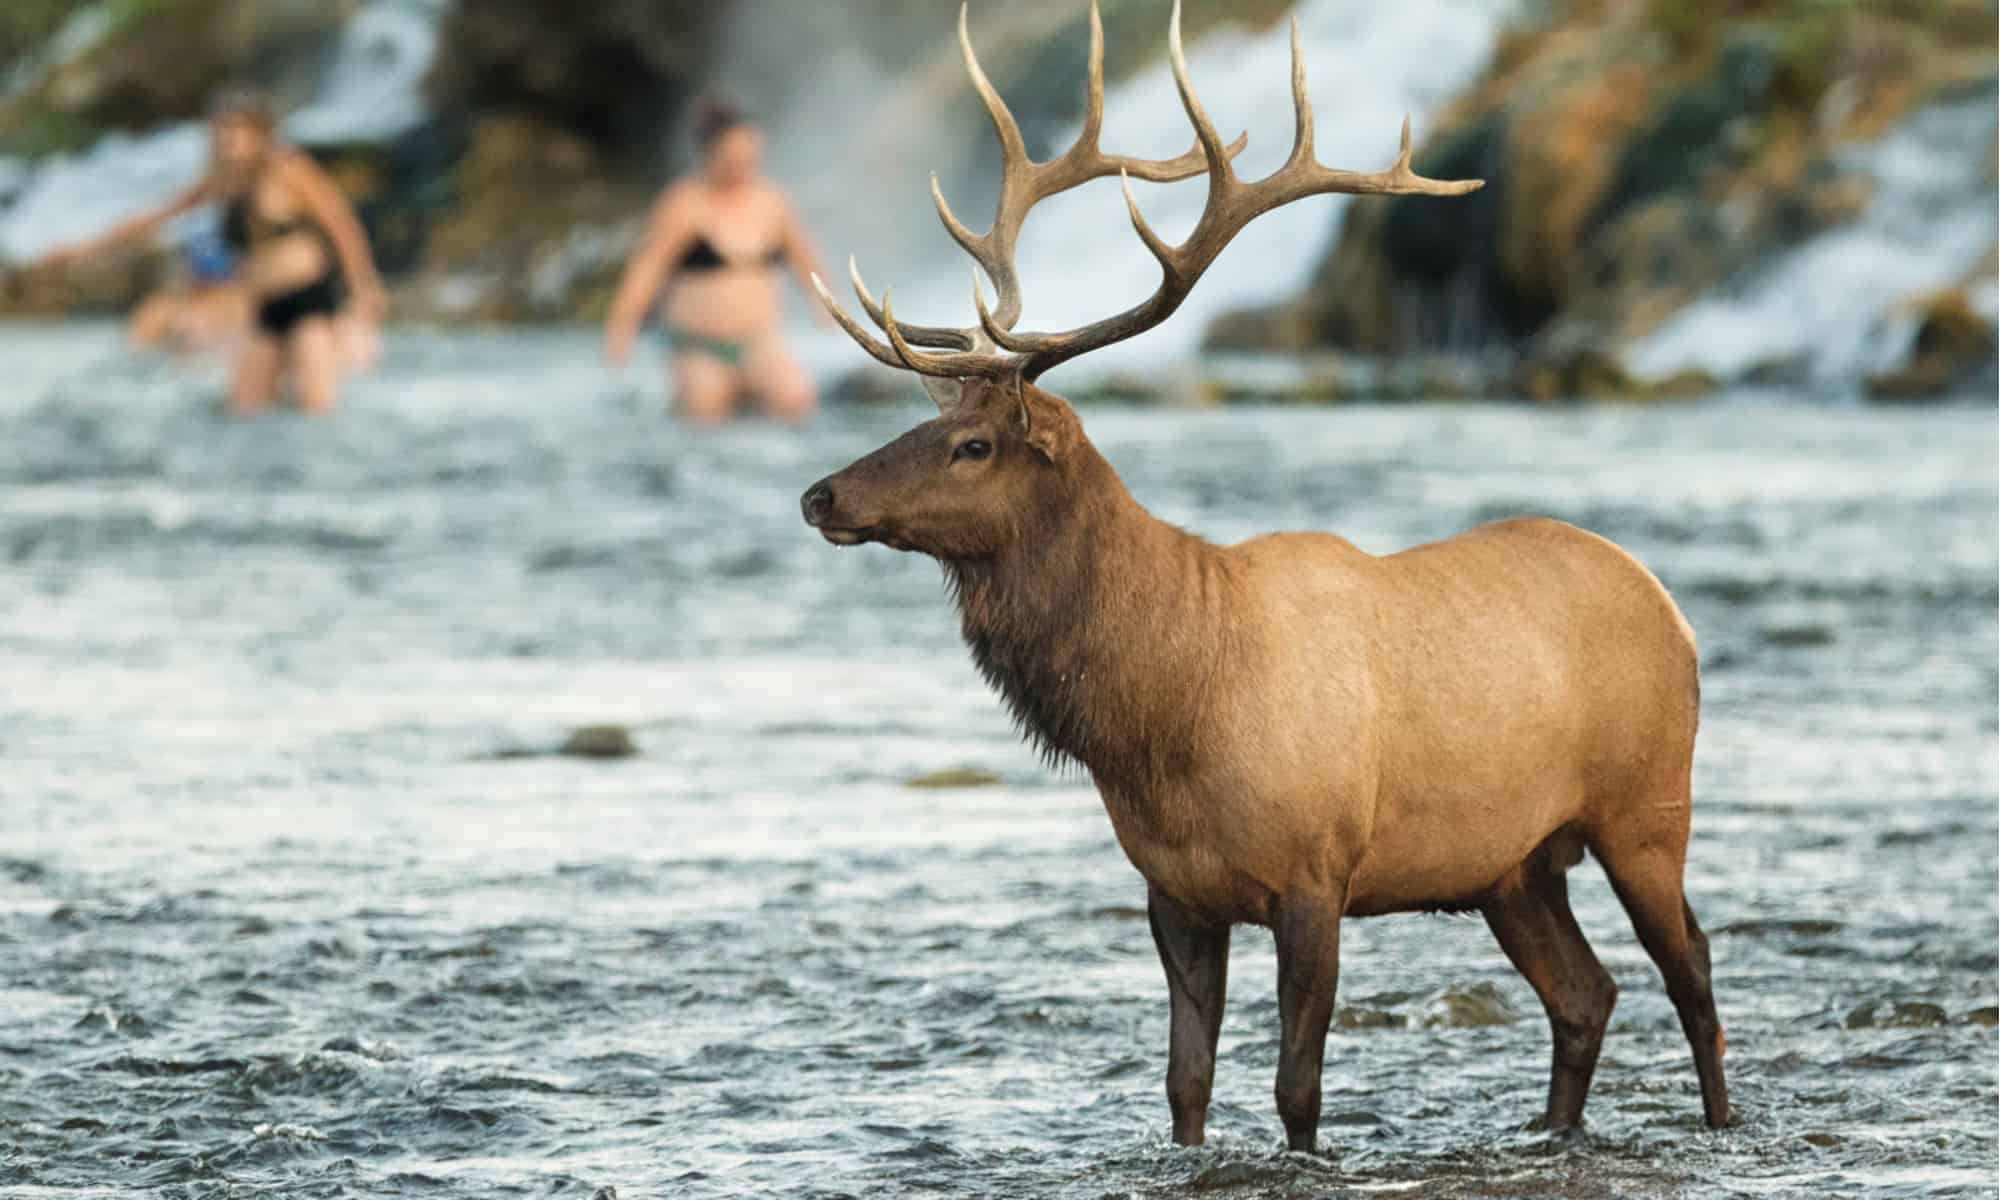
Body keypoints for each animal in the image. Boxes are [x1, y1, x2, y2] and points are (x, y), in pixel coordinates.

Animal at [796, 0, 1720, 1152]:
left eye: (974, 445)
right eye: (928, 423)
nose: (821, 495)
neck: (1164, 716)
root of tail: (1671, 609)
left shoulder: (1315, 870)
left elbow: (1296, 1089)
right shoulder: (1174, 893)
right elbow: (1184, 1086)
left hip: (1646, 805)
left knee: (1691, 970)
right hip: (1512, 862)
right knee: (1584, 995)